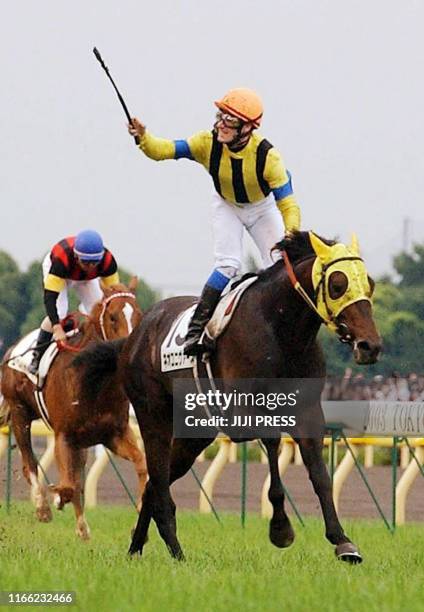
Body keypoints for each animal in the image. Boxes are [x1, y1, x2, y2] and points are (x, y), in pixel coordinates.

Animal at [0, 280, 147, 536]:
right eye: (112, 317)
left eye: (138, 315)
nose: (129, 349)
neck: (93, 378)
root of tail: (11, 350)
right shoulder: (63, 435)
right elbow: (68, 484)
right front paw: (56, 498)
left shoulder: (114, 434)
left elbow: (141, 464)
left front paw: (139, 519)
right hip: (19, 414)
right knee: (30, 463)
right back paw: (43, 507)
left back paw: (81, 526)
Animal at [77, 232, 384, 560]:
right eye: (338, 285)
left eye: (370, 284)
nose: (370, 345)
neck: (281, 329)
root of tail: (133, 337)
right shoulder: (246, 413)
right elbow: (273, 450)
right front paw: (281, 529)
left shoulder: (308, 414)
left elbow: (321, 476)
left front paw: (342, 541)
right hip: (152, 416)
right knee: (158, 482)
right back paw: (176, 552)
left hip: (194, 435)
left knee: (153, 485)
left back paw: (136, 548)